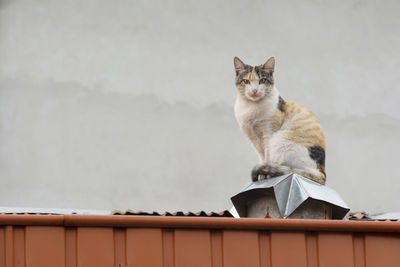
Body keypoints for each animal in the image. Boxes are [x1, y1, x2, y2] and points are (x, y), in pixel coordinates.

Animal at [233, 56, 326, 185]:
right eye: (246, 81)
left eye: (262, 80)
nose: (254, 91)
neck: (251, 107)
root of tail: (323, 173)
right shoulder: (254, 139)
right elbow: (262, 157)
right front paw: (262, 171)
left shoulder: (268, 133)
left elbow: (267, 156)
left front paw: (263, 174)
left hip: (281, 141)